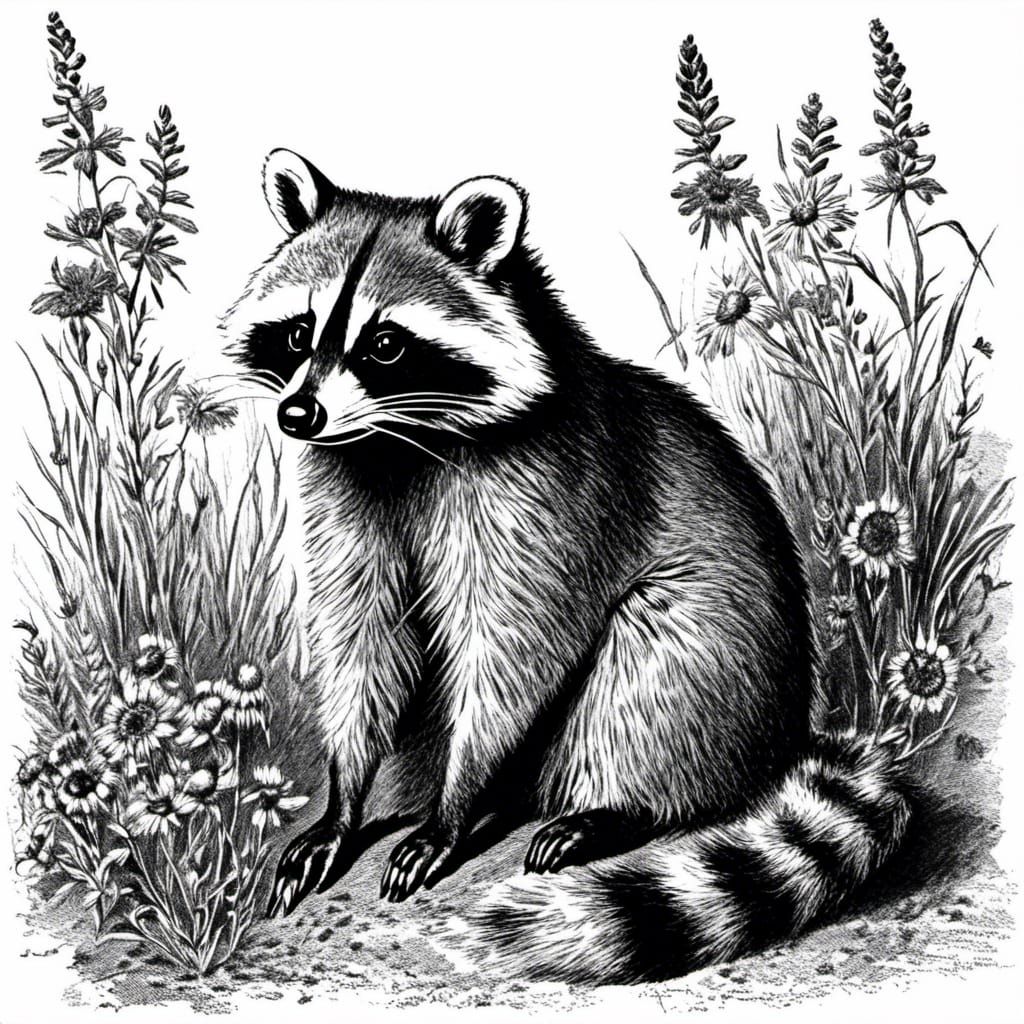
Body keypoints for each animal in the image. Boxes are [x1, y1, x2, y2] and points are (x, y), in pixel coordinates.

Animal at [220, 149, 911, 983]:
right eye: (298, 333)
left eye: (384, 344)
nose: (297, 414)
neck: (397, 441)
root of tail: (785, 736)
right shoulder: (344, 488)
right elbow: (362, 642)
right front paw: (344, 798)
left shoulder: (549, 487)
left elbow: (516, 650)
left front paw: (454, 806)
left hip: (719, 656)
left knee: (656, 661)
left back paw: (611, 807)